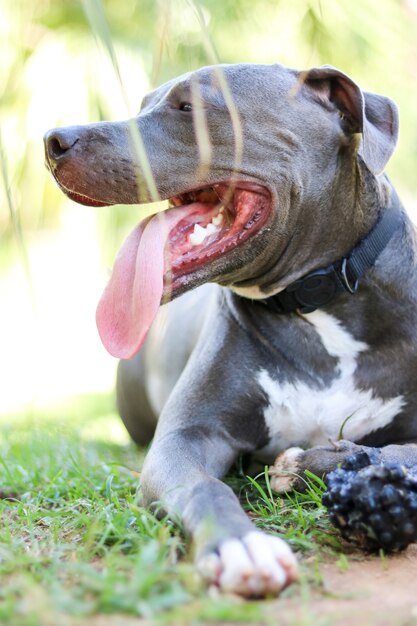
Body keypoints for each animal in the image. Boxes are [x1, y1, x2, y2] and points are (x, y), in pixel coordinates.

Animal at [44, 63, 416, 596]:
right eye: (144, 104)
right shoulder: (185, 438)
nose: (53, 139)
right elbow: (204, 486)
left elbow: (402, 451)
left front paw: (322, 464)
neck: (317, 303)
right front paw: (240, 544)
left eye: (190, 108)